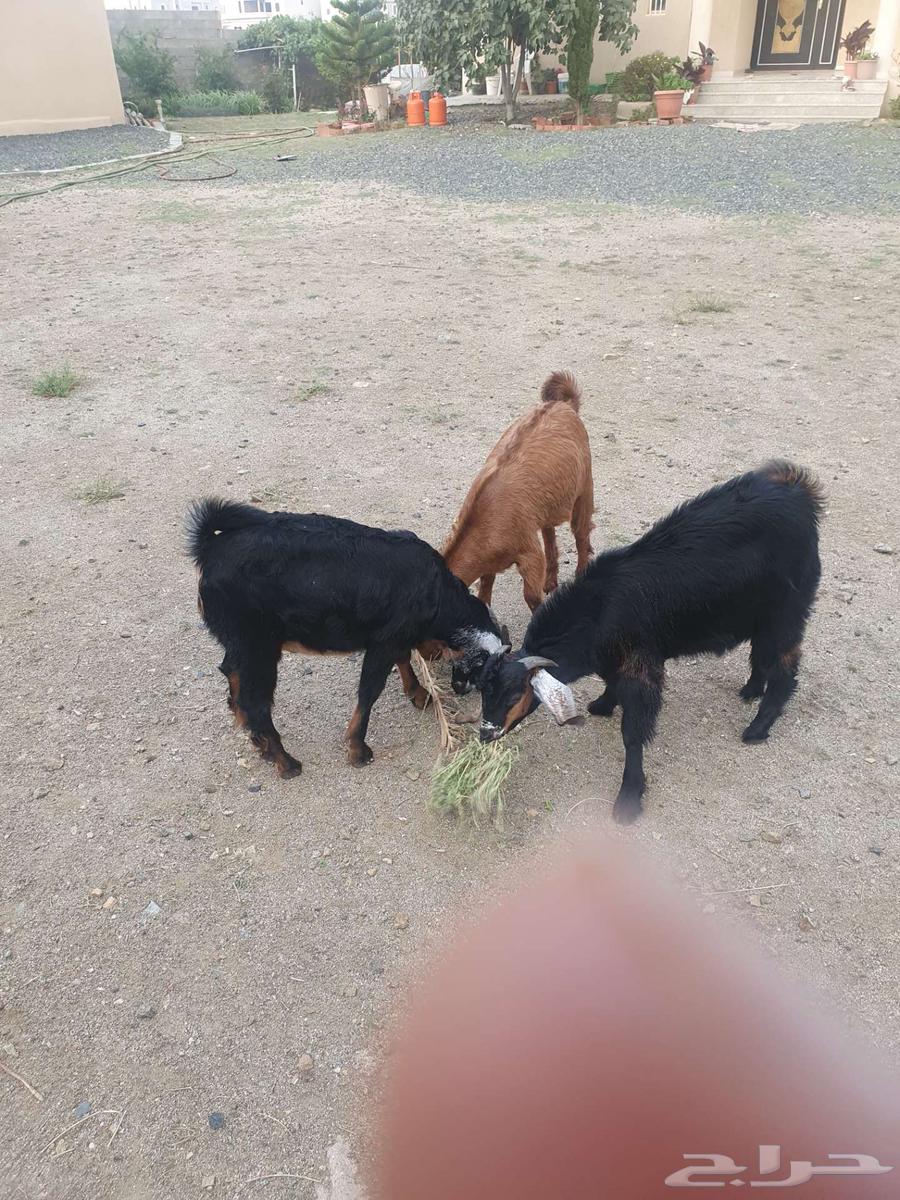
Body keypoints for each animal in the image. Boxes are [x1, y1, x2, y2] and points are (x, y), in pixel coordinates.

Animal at [188, 500, 505, 778]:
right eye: (486, 673)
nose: (461, 690)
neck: (437, 593)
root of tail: (211, 549)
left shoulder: (395, 638)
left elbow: (403, 659)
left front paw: (418, 693)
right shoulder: (383, 643)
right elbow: (369, 691)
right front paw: (357, 749)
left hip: (241, 642)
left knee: (231, 671)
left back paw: (249, 729)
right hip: (259, 648)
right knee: (256, 702)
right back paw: (283, 760)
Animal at [442, 371, 595, 613]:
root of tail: (563, 405)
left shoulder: (529, 555)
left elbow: (531, 596)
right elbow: (486, 581)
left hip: (584, 487)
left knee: (581, 534)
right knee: (549, 534)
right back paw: (550, 582)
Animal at [464, 462, 823, 824]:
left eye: (514, 695)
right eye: (483, 690)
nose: (486, 734)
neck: (599, 609)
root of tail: (800, 491)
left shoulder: (641, 666)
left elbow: (633, 733)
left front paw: (629, 796)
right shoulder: (615, 657)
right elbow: (611, 683)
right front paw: (603, 704)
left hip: (787, 611)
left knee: (785, 666)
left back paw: (758, 727)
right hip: (757, 614)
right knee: (761, 651)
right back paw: (750, 690)